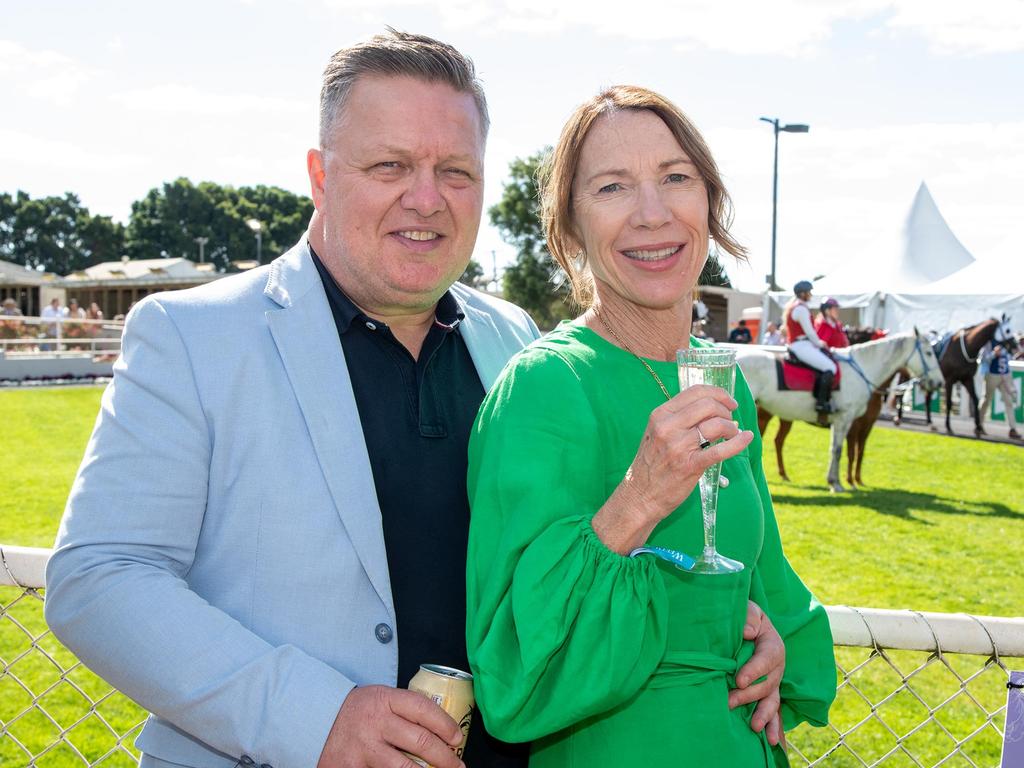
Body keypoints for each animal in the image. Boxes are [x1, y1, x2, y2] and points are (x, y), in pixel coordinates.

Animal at [737, 331, 942, 493]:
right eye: (929, 353)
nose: (939, 383)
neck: (862, 370)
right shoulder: (845, 419)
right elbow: (838, 450)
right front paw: (836, 483)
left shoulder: (848, 423)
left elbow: (843, 450)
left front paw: (840, 481)